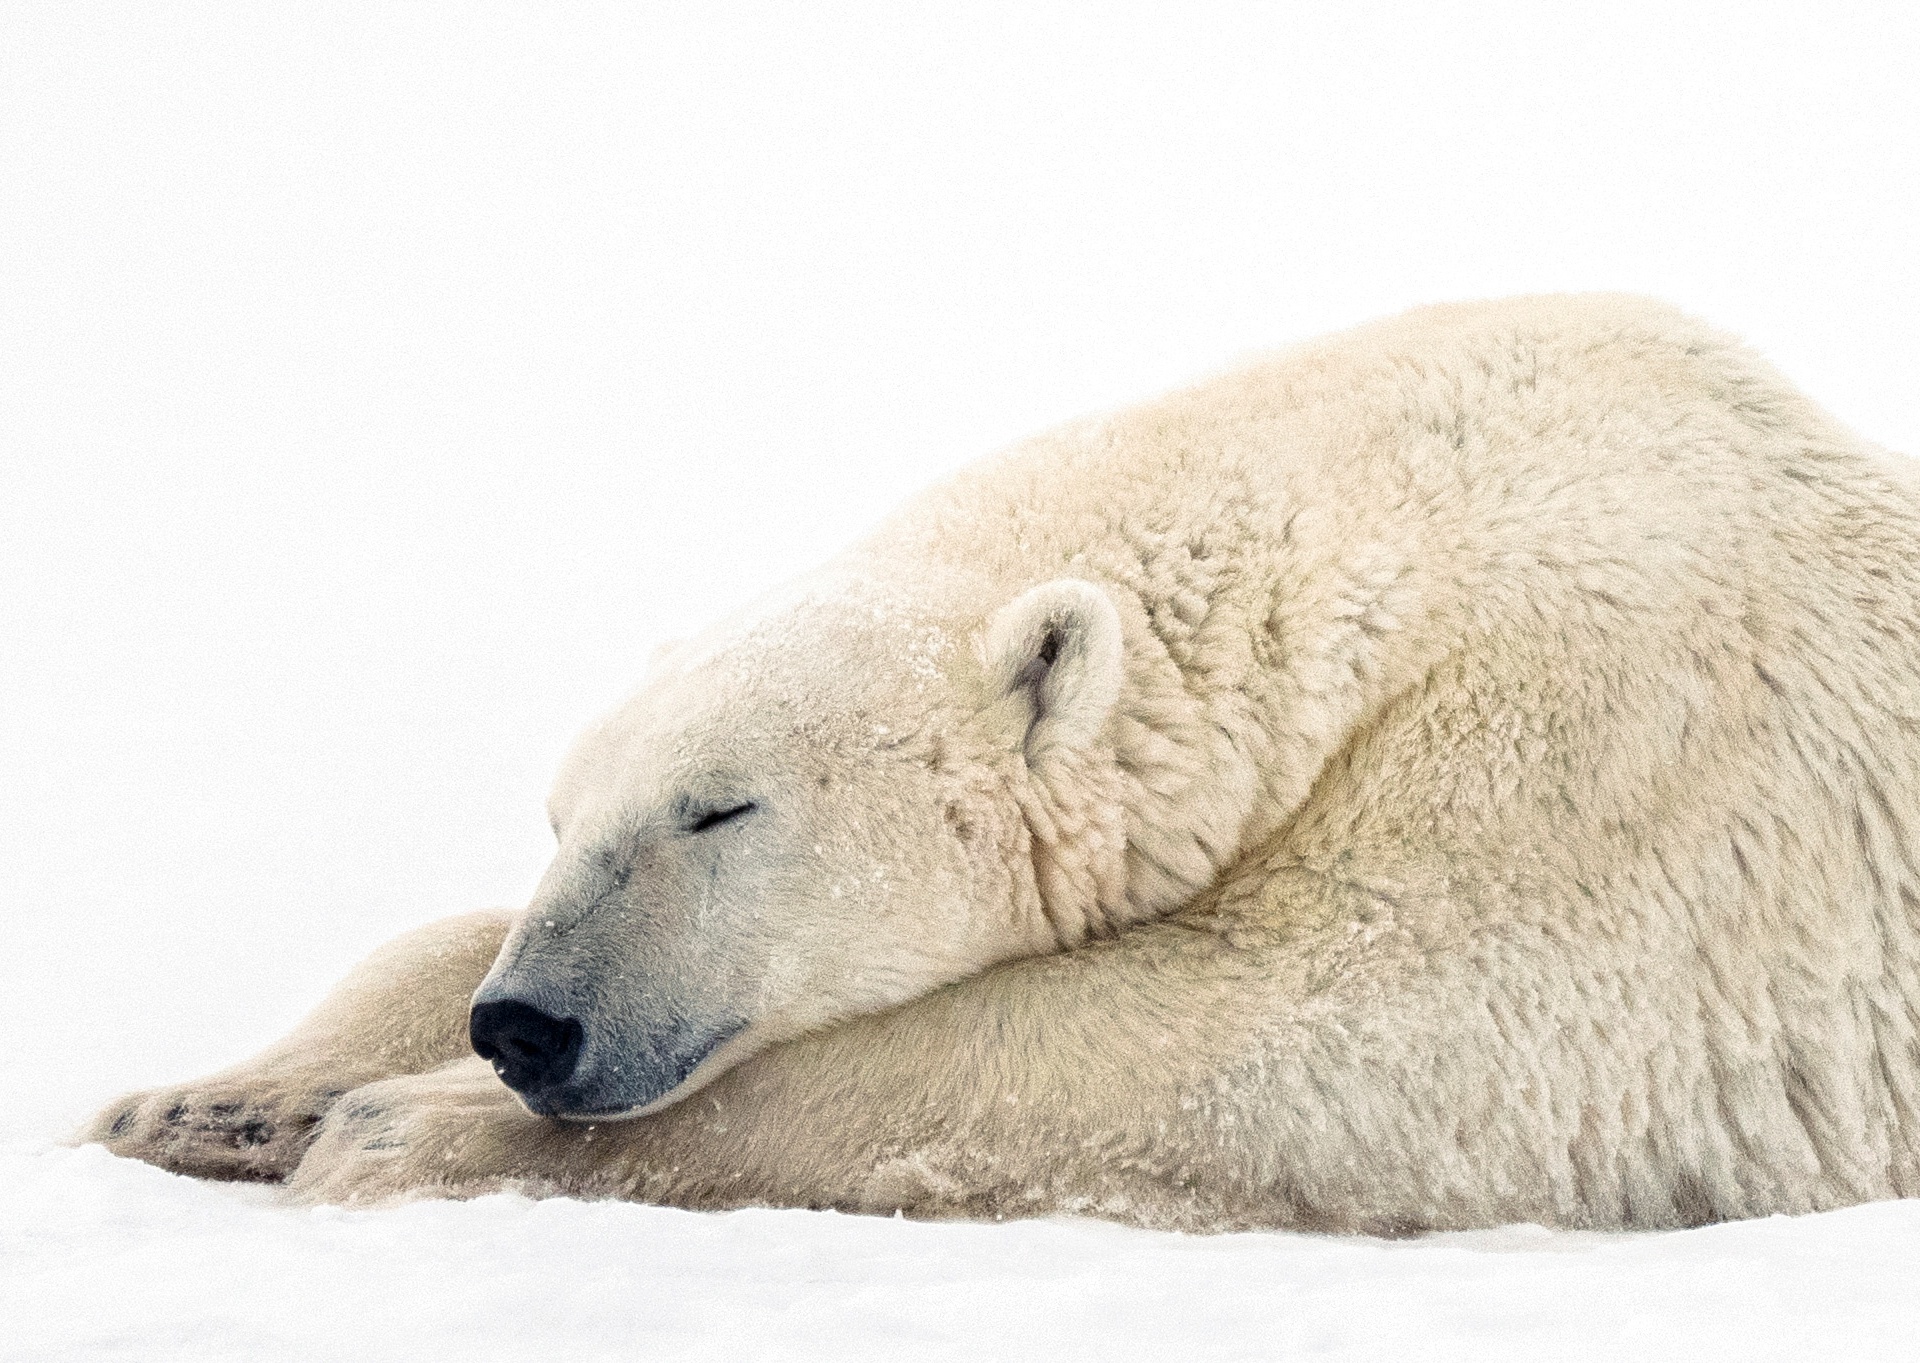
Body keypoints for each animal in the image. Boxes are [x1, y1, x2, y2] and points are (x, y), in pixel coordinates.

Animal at [82, 299, 1920, 1236]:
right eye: (561, 813)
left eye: (722, 806)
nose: (531, 1023)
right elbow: (435, 923)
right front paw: (204, 1098)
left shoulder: (1621, 744)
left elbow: (1311, 1036)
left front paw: (403, 1126)